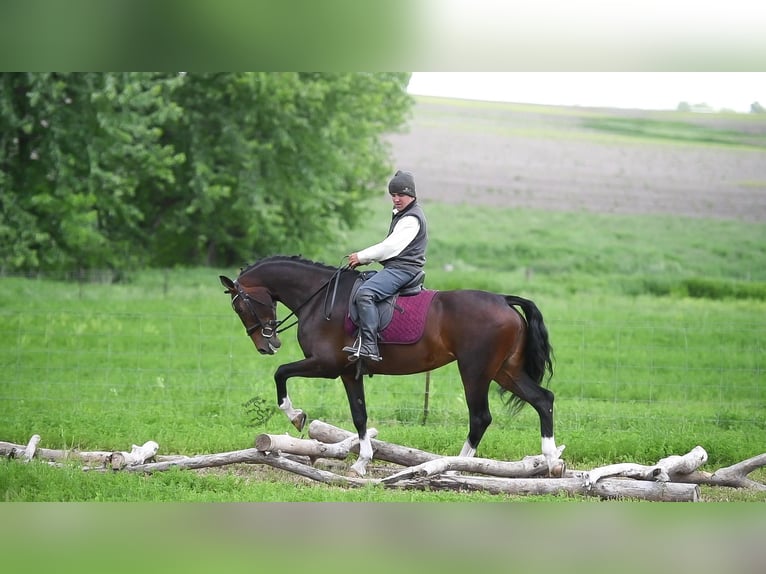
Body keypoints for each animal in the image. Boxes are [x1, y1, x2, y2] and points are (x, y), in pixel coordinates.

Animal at [220, 255, 563, 476]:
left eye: (241, 307)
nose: (267, 345)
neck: (319, 299)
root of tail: (504, 300)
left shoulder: (325, 365)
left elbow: (280, 374)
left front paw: (296, 416)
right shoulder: (348, 372)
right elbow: (359, 415)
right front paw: (362, 462)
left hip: (475, 371)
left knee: (481, 417)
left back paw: (453, 468)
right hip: (506, 371)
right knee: (543, 399)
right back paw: (550, 461)